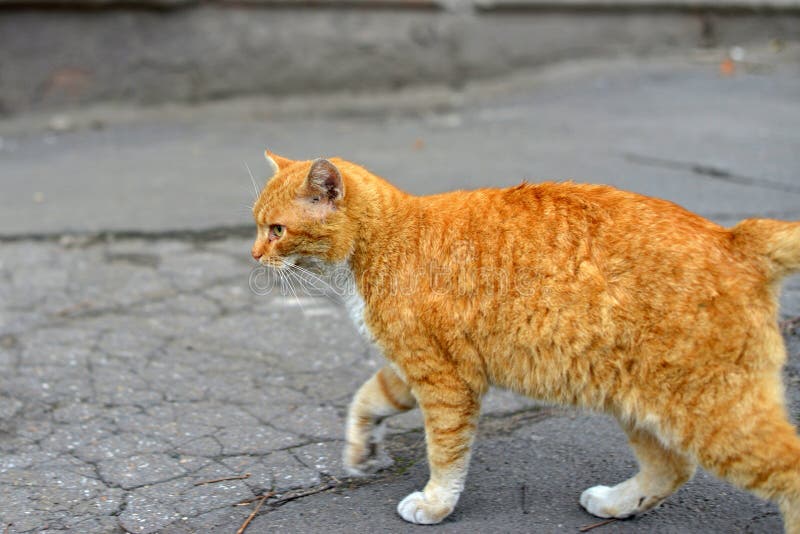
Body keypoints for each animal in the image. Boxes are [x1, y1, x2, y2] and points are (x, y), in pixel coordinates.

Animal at [253, 150, 800, 532]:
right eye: (257, 225)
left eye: (276, 230)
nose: (255, 254)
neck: (385, 239)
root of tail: (737, 237)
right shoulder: (417, 368)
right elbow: (368, 399)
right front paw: (362, 450)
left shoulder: (447, 383)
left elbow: (444, 452)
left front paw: (436, 504)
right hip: (640, 403)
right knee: (671, 469)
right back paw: (617, 503)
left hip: (713, 413)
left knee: (785, 467)